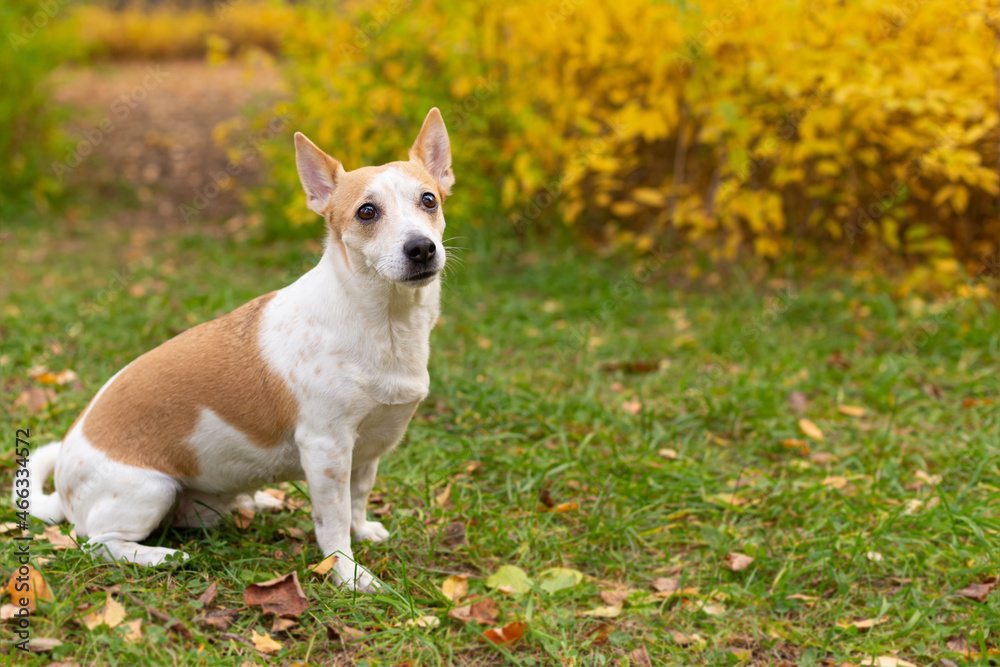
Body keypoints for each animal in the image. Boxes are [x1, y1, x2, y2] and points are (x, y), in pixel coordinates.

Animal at [22, 109, 454, 596]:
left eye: (429, 200)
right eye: (367, 212)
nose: (421, 248)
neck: (387, 323)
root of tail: (62, 488)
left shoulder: (367, 450)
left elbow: (357, 500)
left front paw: (363, 533)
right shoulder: (327, 449)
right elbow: (333, 522)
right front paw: (349, 575)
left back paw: (258, 501)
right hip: (151, 490)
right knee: (97, 543)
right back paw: (160, 556)